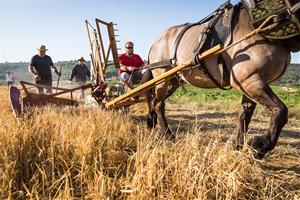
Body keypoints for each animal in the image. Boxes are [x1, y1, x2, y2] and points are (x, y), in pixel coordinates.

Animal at [144, 0, 300, 159]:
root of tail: (156, 42)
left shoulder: (252, 82)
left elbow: (245, 115)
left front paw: (238, 147)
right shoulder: (249, 80)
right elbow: (280, 111)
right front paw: (260, 146)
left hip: (173, 81)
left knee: (154, 101)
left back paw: (152, 122)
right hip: (162, 78)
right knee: (159, 104)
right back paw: (167, 134)